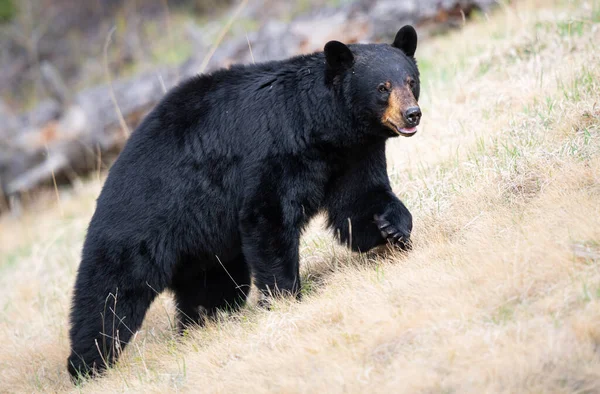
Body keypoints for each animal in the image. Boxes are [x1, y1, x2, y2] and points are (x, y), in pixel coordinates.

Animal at [67, 24, 422, 378]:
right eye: (382, 87)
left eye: (410, 81)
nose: (412, 115)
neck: (320, 128)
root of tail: (110, 177)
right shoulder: (272, 153)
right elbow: (268, 217)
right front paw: (286, 296)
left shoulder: (354, 154)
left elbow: (358, 203)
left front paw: (392, 227)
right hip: (138, 225)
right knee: (109, 297)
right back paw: (87, 365)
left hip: (205, 248)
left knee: (212, 288)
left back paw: (203, 325)